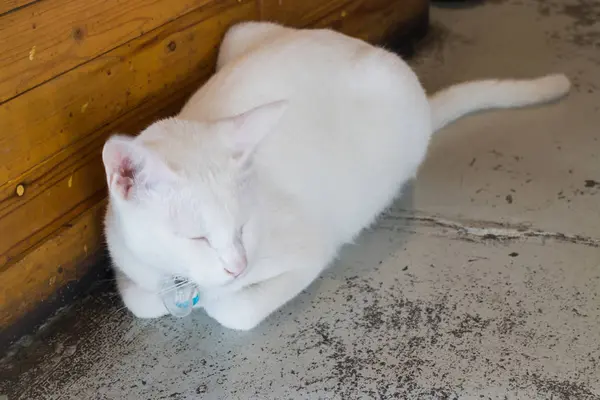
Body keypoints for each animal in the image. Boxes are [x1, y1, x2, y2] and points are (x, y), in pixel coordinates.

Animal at [103, 20, 572, 330]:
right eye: (196, 237)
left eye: (243, 227)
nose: (238, 266)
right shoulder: (125, 255)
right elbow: (140, 300)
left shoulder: (310, 251)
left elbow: (233, 310)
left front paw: (218, 299)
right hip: (239, 30)